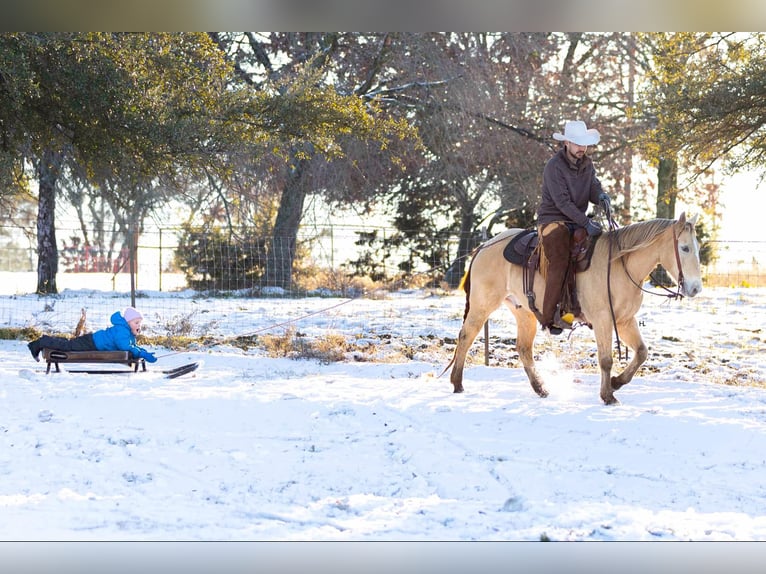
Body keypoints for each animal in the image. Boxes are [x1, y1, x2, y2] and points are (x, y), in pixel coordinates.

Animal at [443, 212, 703, 405]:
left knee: (524, 348)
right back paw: (457, 383)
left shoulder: (625, 321)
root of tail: (484, 246)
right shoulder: (603, 319)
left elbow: (641, 352)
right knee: (466, 336)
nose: (696, 288)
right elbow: (606, 359)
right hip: (482, 304)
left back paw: (541, 388)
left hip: (524, 312)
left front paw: (616, 382)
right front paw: (607, 395)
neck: (620, 263)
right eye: (684, 248)